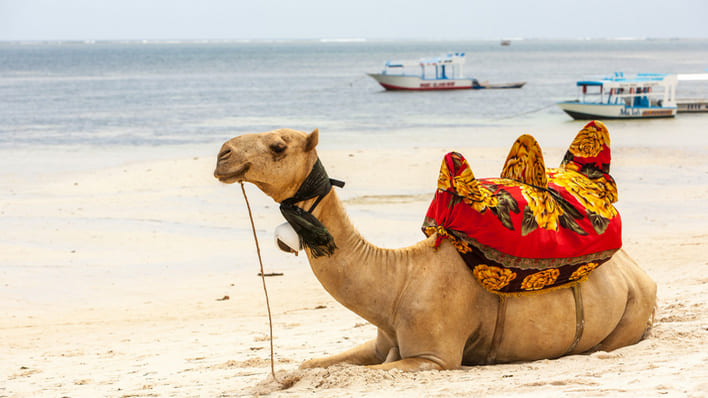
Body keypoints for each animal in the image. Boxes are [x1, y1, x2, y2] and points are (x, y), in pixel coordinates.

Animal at [214, 127, 660, 374]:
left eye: (278, 146)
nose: (222, 154)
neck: (398, 280)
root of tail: (641, 273)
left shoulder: (434, 357)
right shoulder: (382, 343)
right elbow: (308, 366)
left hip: (631, 313)